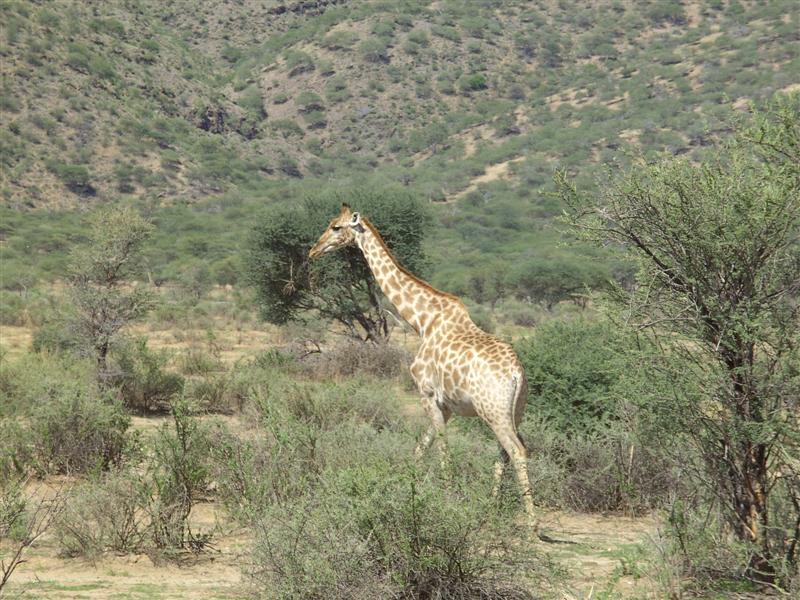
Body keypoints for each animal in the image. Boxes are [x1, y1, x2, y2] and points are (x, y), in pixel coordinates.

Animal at [309, 204, 536, 528]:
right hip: (513, 411)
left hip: (492, 411)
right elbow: (421, 448)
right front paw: (407, 488)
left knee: (517, 451)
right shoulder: (447, 405)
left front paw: (447, 501)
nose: (313, 250)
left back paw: (531, 525)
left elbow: (441, 449)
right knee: (505, 451)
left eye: (336, 227)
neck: (422, 322)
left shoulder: (427, 394)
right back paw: (491, 511)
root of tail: (517, 374)